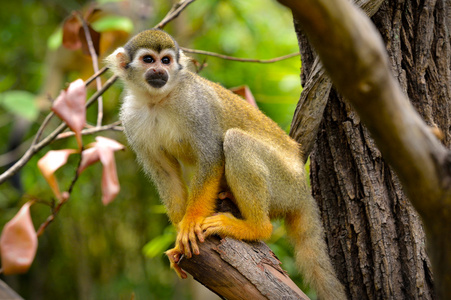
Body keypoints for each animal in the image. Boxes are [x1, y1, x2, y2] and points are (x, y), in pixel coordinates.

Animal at [107, 28, 348, 300]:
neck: (157, 100)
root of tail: (303, 191)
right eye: (149, 60)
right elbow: (165, 173)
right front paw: (179, 239)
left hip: (284, 185)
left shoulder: (194, 104)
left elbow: (211, 157)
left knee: (235, 141)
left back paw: (256, 228)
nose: (159, 71)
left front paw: (189, 224)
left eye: (166, 60)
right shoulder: (130, 118)